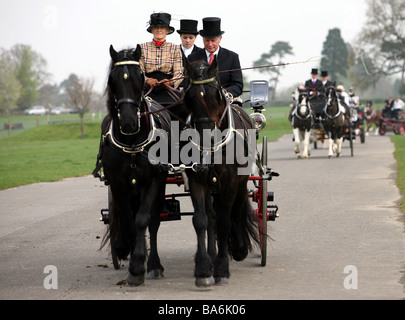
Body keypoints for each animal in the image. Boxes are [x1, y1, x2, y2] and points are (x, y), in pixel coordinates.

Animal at [98, 44, 170, 284]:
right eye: (112, 79)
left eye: (140, 76)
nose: (129, 122)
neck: (131, 141)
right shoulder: (117, 184)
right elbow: (128, 220)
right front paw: (127, 252)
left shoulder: (153, 180)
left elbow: (142, 219)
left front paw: (139, 265)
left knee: (154, 221)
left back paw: (154, 264)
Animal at [180, 57, 258, 284]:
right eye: (189, 96)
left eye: (216, 94)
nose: (207, 137)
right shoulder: (198, 180)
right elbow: (202, 220)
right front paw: (204, 269)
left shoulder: (230, 183)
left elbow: (225, 221)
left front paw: (222, 268)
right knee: (212, 217)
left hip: (240, 183)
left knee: (237, 210)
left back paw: (239, 249)